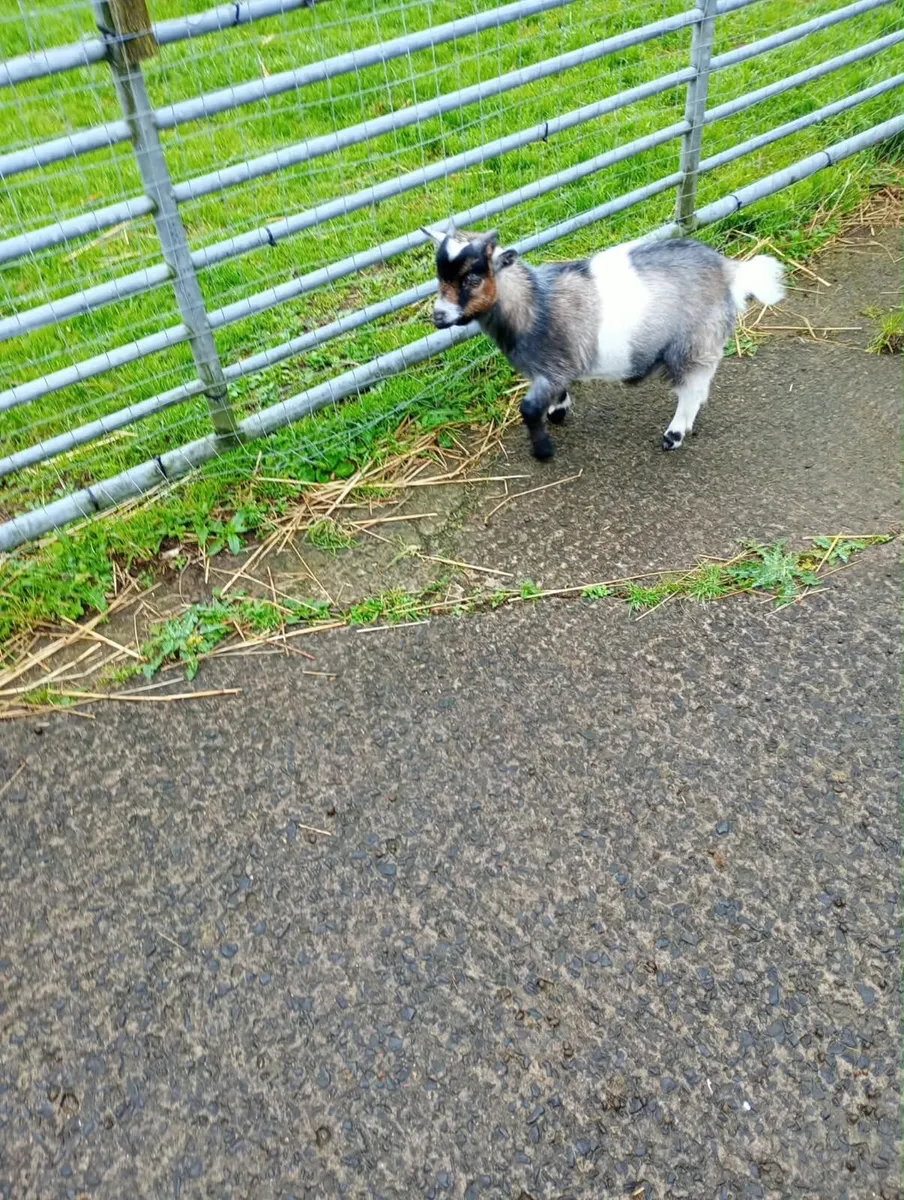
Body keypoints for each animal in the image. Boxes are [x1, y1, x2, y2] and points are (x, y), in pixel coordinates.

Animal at [422, 222, 785, 459]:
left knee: (692, 390)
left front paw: (543, 450)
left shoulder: (551, 369)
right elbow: (554, 397)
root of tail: (730, 271)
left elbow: (529, 409)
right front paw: (558, 412)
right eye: (440, 275)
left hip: (695, 344)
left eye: (473, 277)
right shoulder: (555, 369)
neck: (534, 303)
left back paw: (674, 435)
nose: (438, 317)